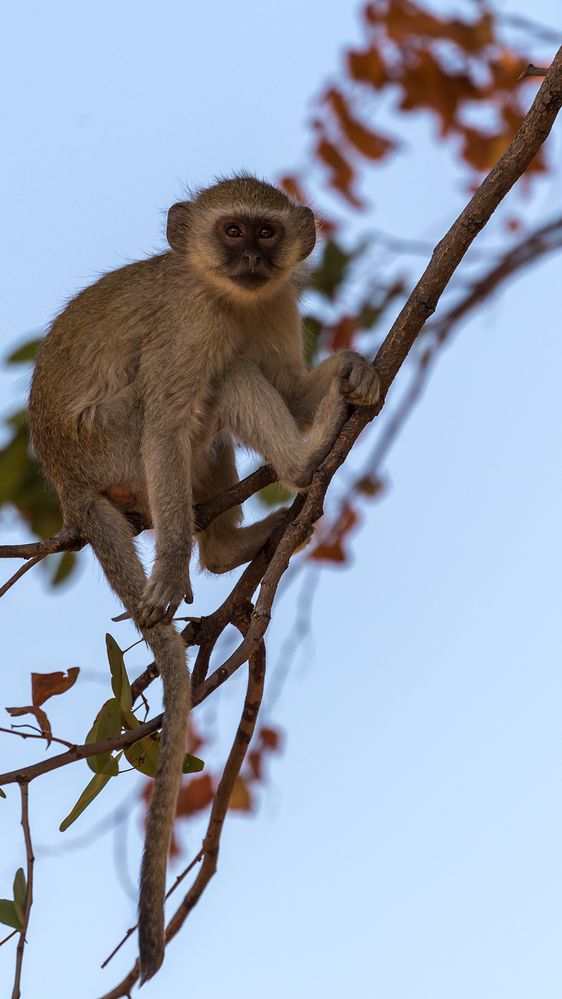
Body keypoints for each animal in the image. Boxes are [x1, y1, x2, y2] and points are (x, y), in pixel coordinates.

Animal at [25, 176, 376, 980]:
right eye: (233, 231)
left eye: (267, 234)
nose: (251, 258)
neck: (233, 298)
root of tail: (67, 483)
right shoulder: (186, 333)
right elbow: (168, 419)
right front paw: (170, 568)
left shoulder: (277, 306)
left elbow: (290, 386)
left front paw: (354, 368)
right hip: (112, 448)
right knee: (212, 392)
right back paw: (298, 468)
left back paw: (234, 544)